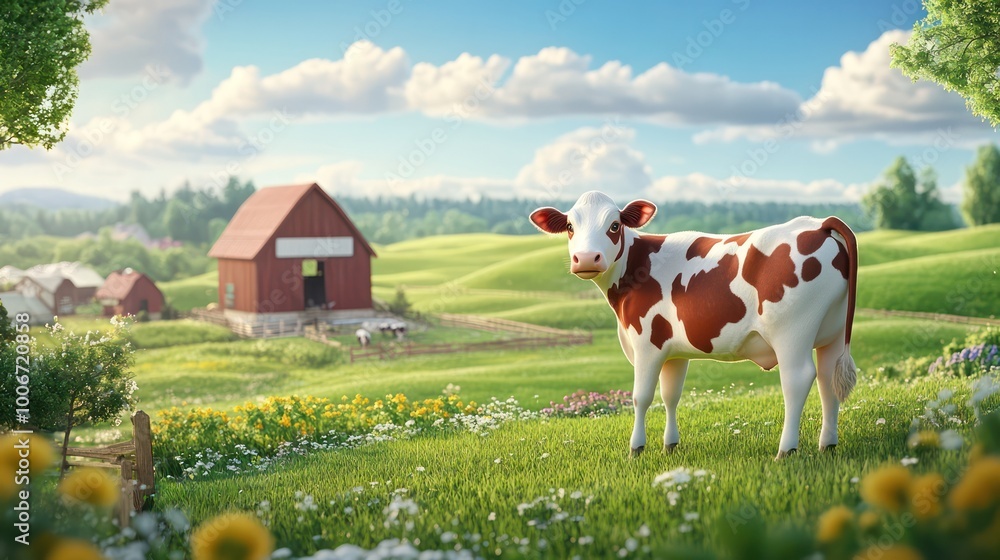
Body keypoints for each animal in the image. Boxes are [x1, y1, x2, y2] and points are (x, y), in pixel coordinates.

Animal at [529, 191, 858, 460]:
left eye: (614, 225)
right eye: (570, 227)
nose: (586, 258)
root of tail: (818, 223)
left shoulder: (646, 343)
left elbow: (641, 397)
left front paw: (636, 448)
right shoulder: (673, 350)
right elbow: (671, 395)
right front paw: (670, 445)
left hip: (791, 332)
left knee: (798, 379)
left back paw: (785, 450)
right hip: (832, 332)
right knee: (828, 380)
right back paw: (827, 444)